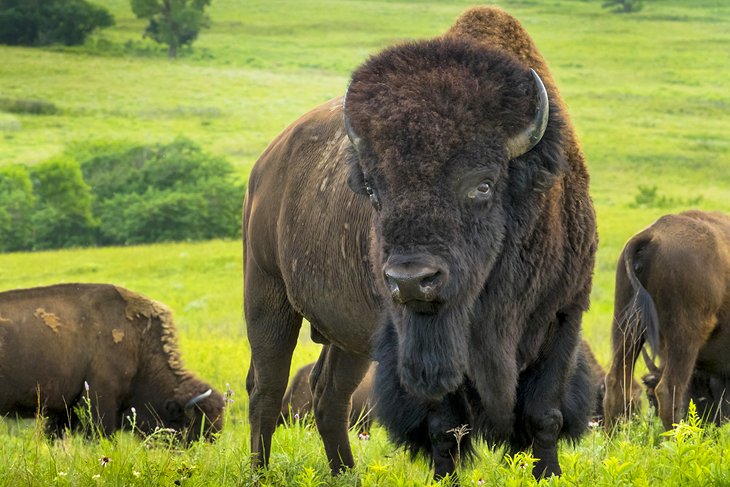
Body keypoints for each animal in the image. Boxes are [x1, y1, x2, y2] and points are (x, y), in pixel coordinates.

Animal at [242, 5, 596, 482]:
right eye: (373, 190)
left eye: (483, 184)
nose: (411, 280)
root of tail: (266, 164)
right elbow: (444, 425)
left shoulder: (563, 315)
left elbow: (545, 415)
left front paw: (549, 475)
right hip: (267, 297)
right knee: (266, 389)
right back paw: (259, 473)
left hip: (347, 336)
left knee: (327, 394)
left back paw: (345, 473)